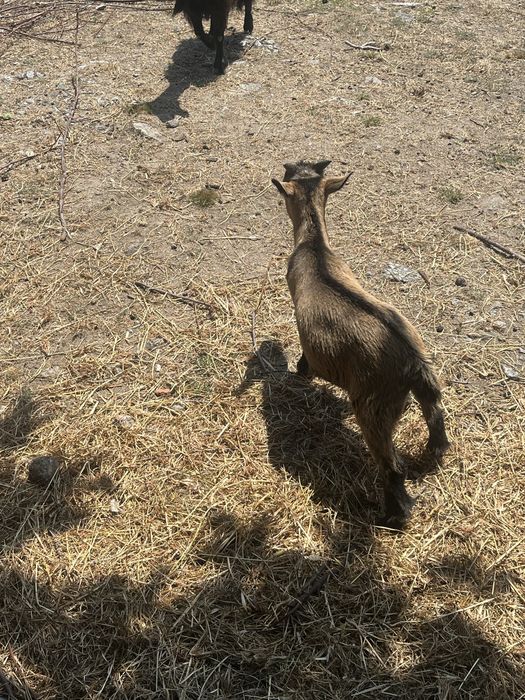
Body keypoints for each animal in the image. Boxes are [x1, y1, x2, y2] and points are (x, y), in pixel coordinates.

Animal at [271, 160, 450, 529]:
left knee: (391, 466)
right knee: (436, 421)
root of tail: (412, 363)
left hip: (373, 407)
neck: (315, 248)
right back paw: (431, 456)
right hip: (425, 389)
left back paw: (391, 516)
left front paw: (300, 372)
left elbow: (305, 358)